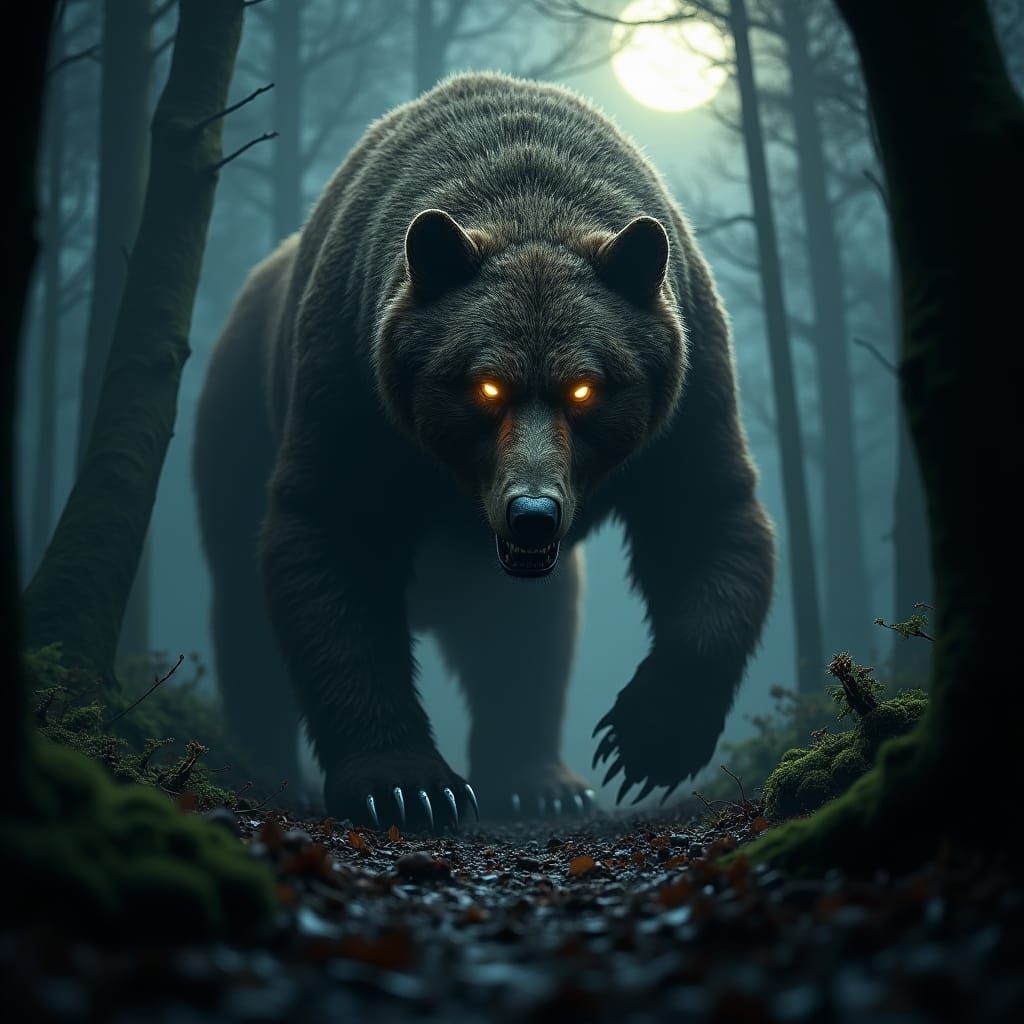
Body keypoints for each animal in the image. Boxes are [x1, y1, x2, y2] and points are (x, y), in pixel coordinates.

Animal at [193, 72, 775, 829]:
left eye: (586, 387)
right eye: (484, 383)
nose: (532, 512)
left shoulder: (686, 394)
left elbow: (705, 521)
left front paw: (642, 743)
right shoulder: (350, 385)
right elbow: (332, 544)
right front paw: (407, 785)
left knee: (529, 639)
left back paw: (541, 782)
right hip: (234, 425)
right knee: (243, 616)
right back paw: (266, 764)